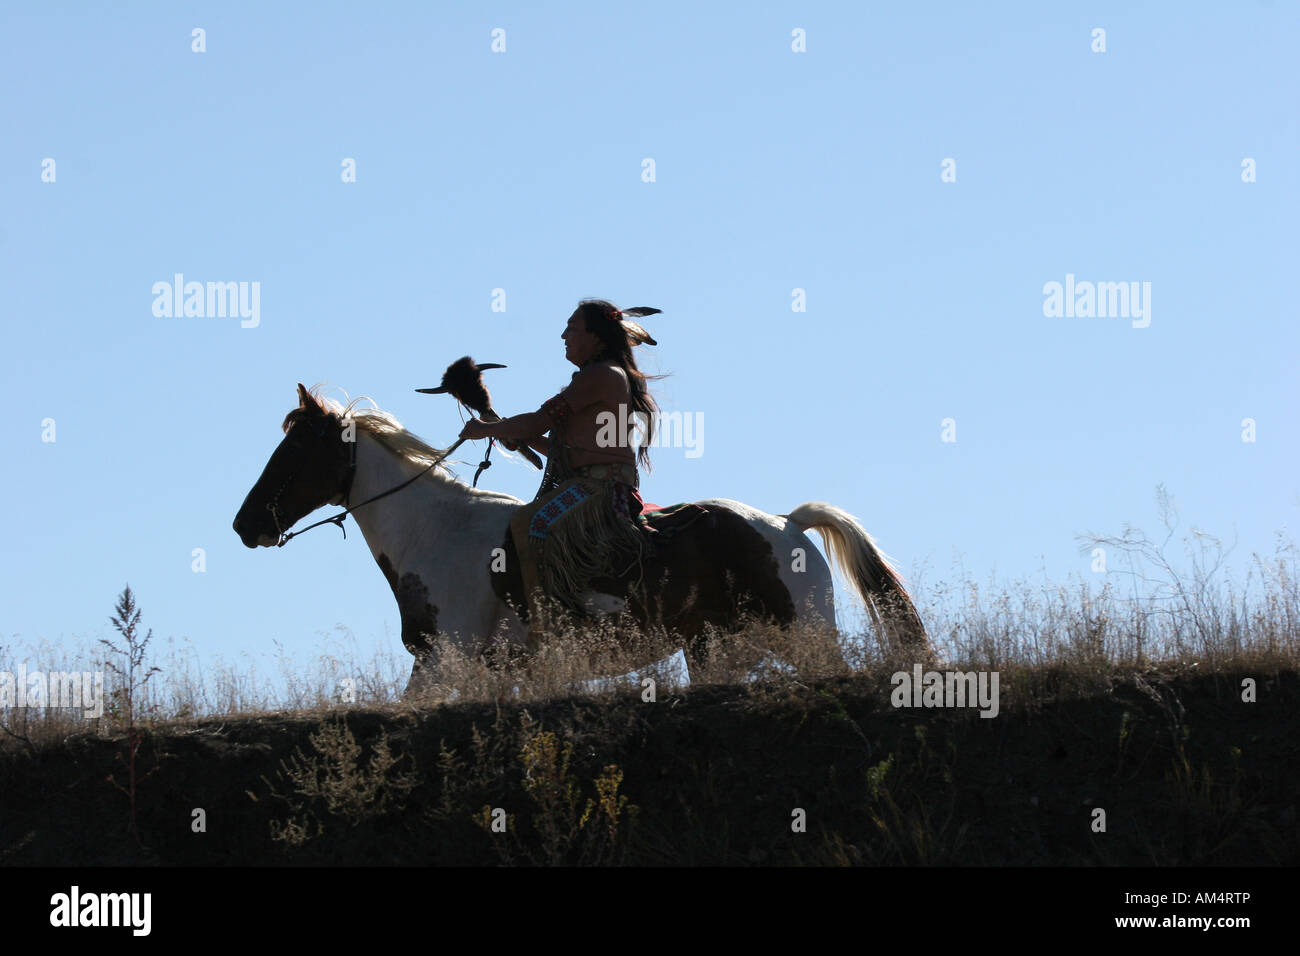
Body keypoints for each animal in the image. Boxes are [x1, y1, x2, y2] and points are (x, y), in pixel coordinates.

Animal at [231, 385, 925, 697]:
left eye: (297, 448)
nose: (245, 525)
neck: (435, 532)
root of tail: (786, 524)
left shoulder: (443, 661)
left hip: (805, 635)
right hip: (717, 653)